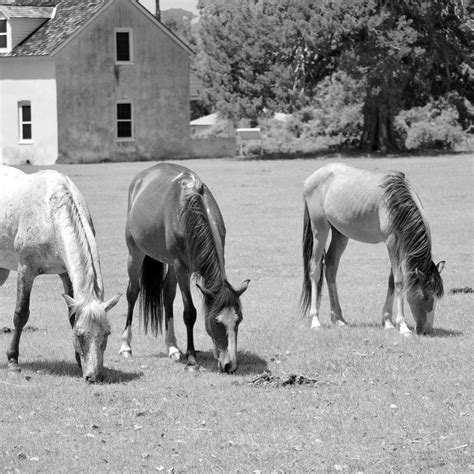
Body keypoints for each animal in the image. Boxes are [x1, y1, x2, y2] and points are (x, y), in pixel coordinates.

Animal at [0, 165, 121, 384]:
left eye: (107, 333)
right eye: (80, 335)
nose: (93, 377)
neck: (49, 212)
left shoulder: (65, 274)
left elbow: (71, 314)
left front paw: (79, 361)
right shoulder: (26, 270)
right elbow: (21, 314)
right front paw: (13, 361)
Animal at [300, 165, 444, 336]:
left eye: (437, 297)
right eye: (423, 297)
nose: (427, 330)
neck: (397, 203)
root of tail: (311, 178)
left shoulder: (400, 246)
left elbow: (392, 281)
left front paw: (387, 321)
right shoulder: (391, 242)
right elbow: (399, 282)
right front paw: (402, 325)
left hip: (340, 234)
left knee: (330, 267)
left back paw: (339, 319)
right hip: (319, 230)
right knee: (315, 269)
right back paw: (315, 320)